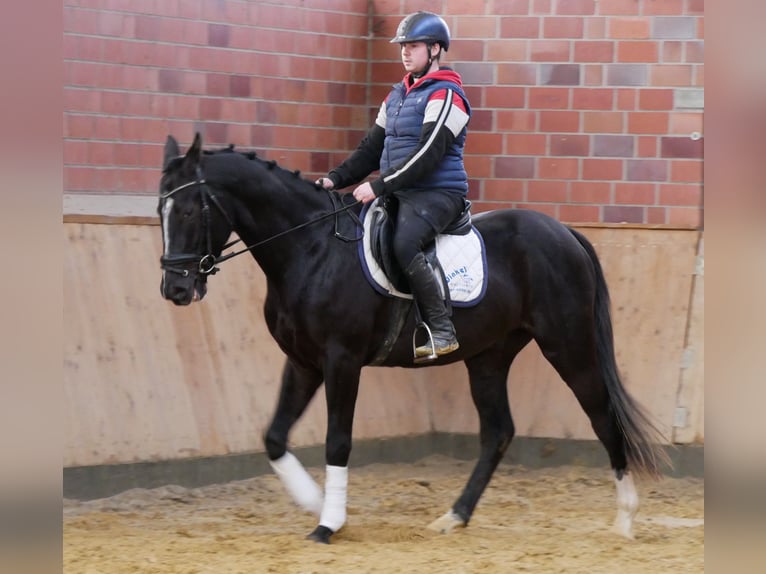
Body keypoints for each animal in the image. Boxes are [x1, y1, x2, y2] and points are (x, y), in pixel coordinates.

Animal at [159, 134, 668, 544]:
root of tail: (564, 232)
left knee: (602, 417)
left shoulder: (341, 361)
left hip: (568, 346)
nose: (176, 290)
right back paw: (454, 517)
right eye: (160, 208)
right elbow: (274, 436)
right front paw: (314, 501)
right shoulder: (303, 362)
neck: (312, 250)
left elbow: (337, 441)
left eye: (186, 209)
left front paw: (329, 523)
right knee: (498, 432)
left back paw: (625, 519)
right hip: (488, 357)